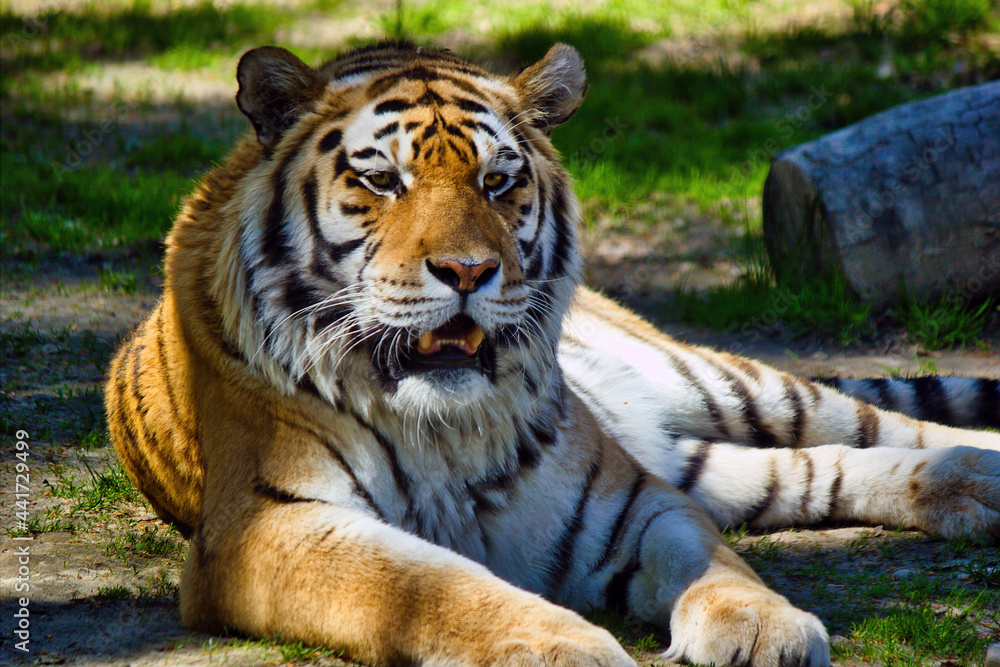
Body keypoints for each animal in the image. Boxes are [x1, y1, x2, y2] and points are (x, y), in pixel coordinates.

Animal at [105, 41, 1000, 667]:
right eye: (382, 181)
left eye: (499, 181)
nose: (468, 270)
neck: (446, 429)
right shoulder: (269, 525)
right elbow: (430, 582)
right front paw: (554, 643)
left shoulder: (632, 499)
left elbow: (720, 564)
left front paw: (760, 623)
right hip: (691, 452)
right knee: (811, 469)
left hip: (721, 387)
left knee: (876, 425)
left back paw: (976, 471)